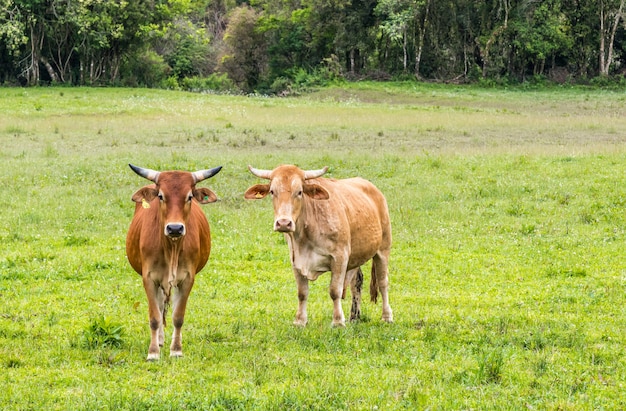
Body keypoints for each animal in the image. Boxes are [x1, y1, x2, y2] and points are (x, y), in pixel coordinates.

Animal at [125, 164, 221, 360]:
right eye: (161, 196)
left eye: (189, 196)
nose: (175, 228)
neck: (171, 249)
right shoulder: (148, 278)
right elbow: (155, 317)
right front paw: (153, 352)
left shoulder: (187, 279)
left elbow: (178, 316)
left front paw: (176, 349)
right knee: (161, 305)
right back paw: (160, 340)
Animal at [243, 164, 390, 328]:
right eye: (272, 191)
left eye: (299, 192)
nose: (284, 223)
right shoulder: (296, 260)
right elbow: (302, 293)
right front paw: (300, 320)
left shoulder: (340, 258)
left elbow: (335, 291)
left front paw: (338, 321)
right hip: (356, 257)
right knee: (356, 282)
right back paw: (354, 317)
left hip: (383, 248)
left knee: (383, 283)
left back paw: (386, 316)